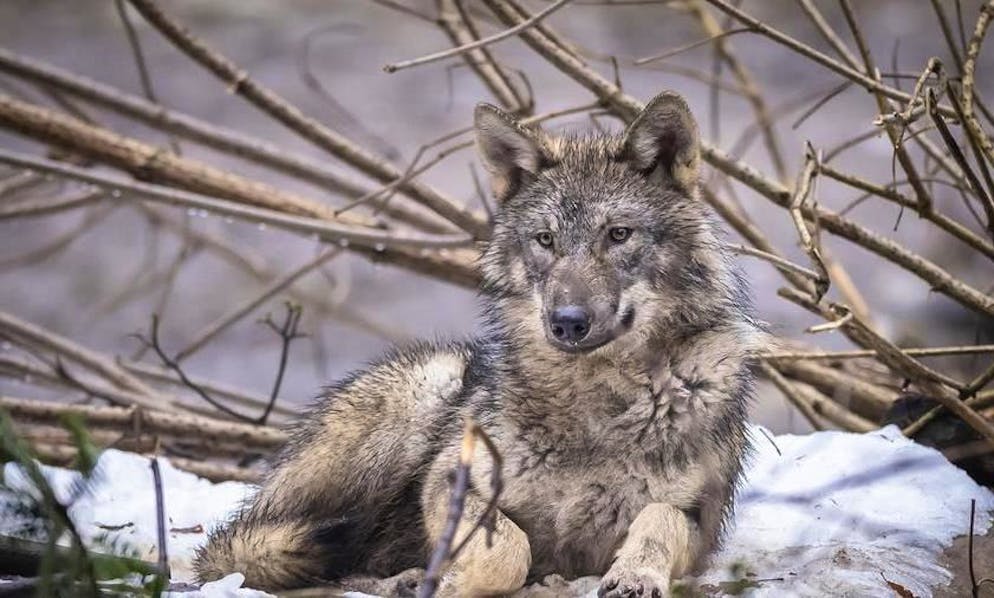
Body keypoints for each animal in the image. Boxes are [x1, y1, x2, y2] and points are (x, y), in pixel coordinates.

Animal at [194, 91, 761, 597]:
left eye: (618, 235)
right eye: (545, 240)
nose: (567, 322)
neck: (596, 405)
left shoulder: (698, 520)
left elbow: (658, 519)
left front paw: (635, 576)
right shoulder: (449, 481)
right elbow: (509, 550)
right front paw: (452, 582)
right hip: (425, 390)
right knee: (267, 554)